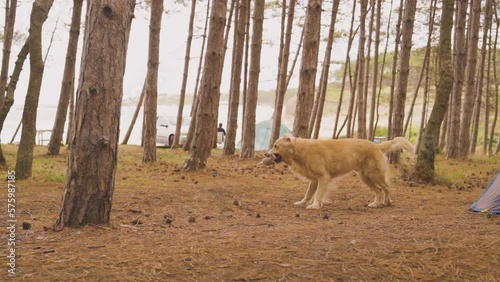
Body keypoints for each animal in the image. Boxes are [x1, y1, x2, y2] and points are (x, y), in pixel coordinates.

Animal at [266, 134, 414, 209]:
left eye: (275, 146)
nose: (266, 154)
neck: (299, 149)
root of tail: (376, 145)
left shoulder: (323, 178)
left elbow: (318, 194)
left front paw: (315, 205)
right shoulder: (314, 180)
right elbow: (308, 194)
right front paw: (302, 203)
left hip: (374, 174)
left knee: (386, 188)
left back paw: (387, 202)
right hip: (365, 177)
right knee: (378, 190)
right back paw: (375, 204)